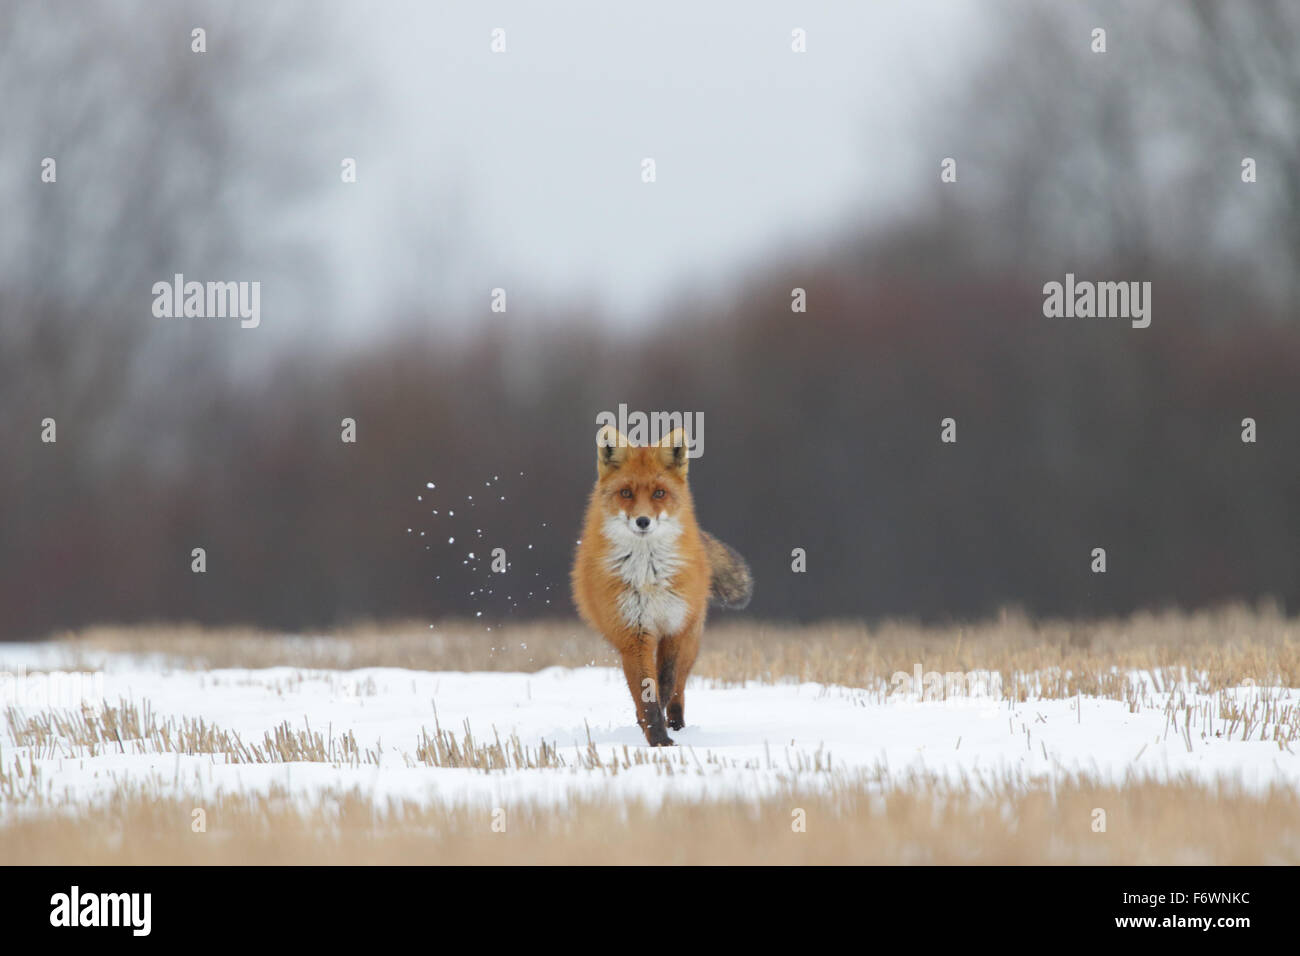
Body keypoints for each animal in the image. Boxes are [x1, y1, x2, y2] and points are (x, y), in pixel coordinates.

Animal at [571, 424, 752, 746]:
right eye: (626, 493)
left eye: (659, 493)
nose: (643, 521)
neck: (648, 575)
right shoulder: (633, 635)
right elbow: (646, 692)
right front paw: (657, 739)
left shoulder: (674, 628)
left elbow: (665, 682)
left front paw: (661, 731)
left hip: (692, 638)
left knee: (680, 685)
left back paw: (678, 723)